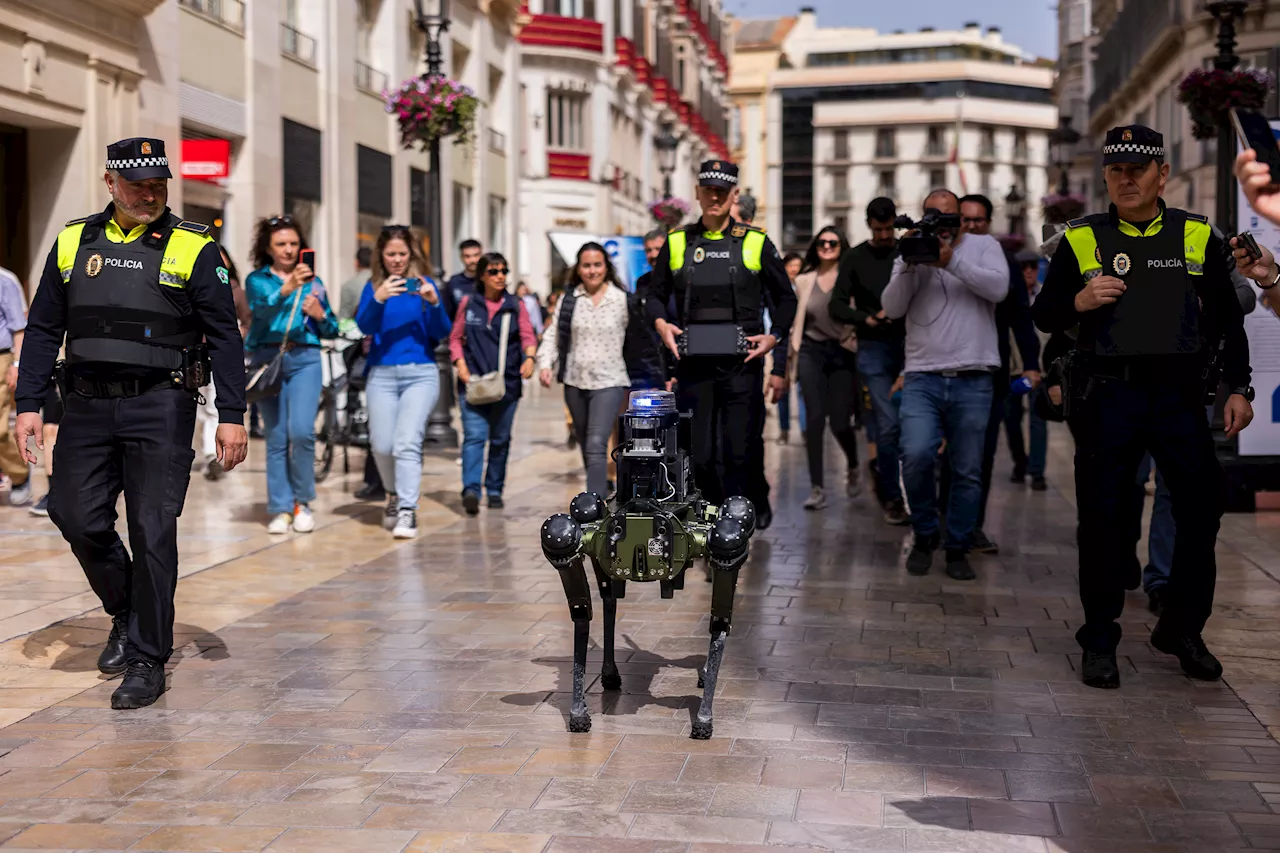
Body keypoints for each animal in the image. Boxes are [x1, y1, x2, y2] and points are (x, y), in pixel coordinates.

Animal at [537, 389, 752, 732]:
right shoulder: (580, 540)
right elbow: (582, 612)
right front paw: (578, 712)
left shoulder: (724, 542)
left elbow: (720, 620)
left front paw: (703, 717)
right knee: (607, 597)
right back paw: (609, 674)